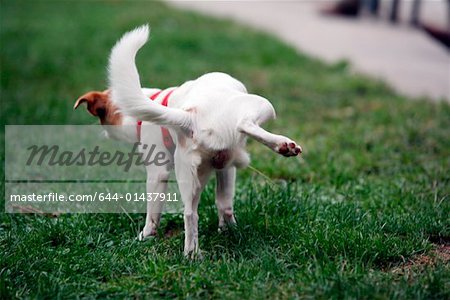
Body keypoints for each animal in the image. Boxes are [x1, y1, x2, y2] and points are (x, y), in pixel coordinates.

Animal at [75, 24, 302, 256]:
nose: (103, 133)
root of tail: (191, 115)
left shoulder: (189, 170)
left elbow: (215, 205)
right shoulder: (222, 167)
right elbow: (223, 204)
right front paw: (228, 230)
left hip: (191, 170)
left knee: (190, 213)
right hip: (248, 118)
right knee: (243, 126)